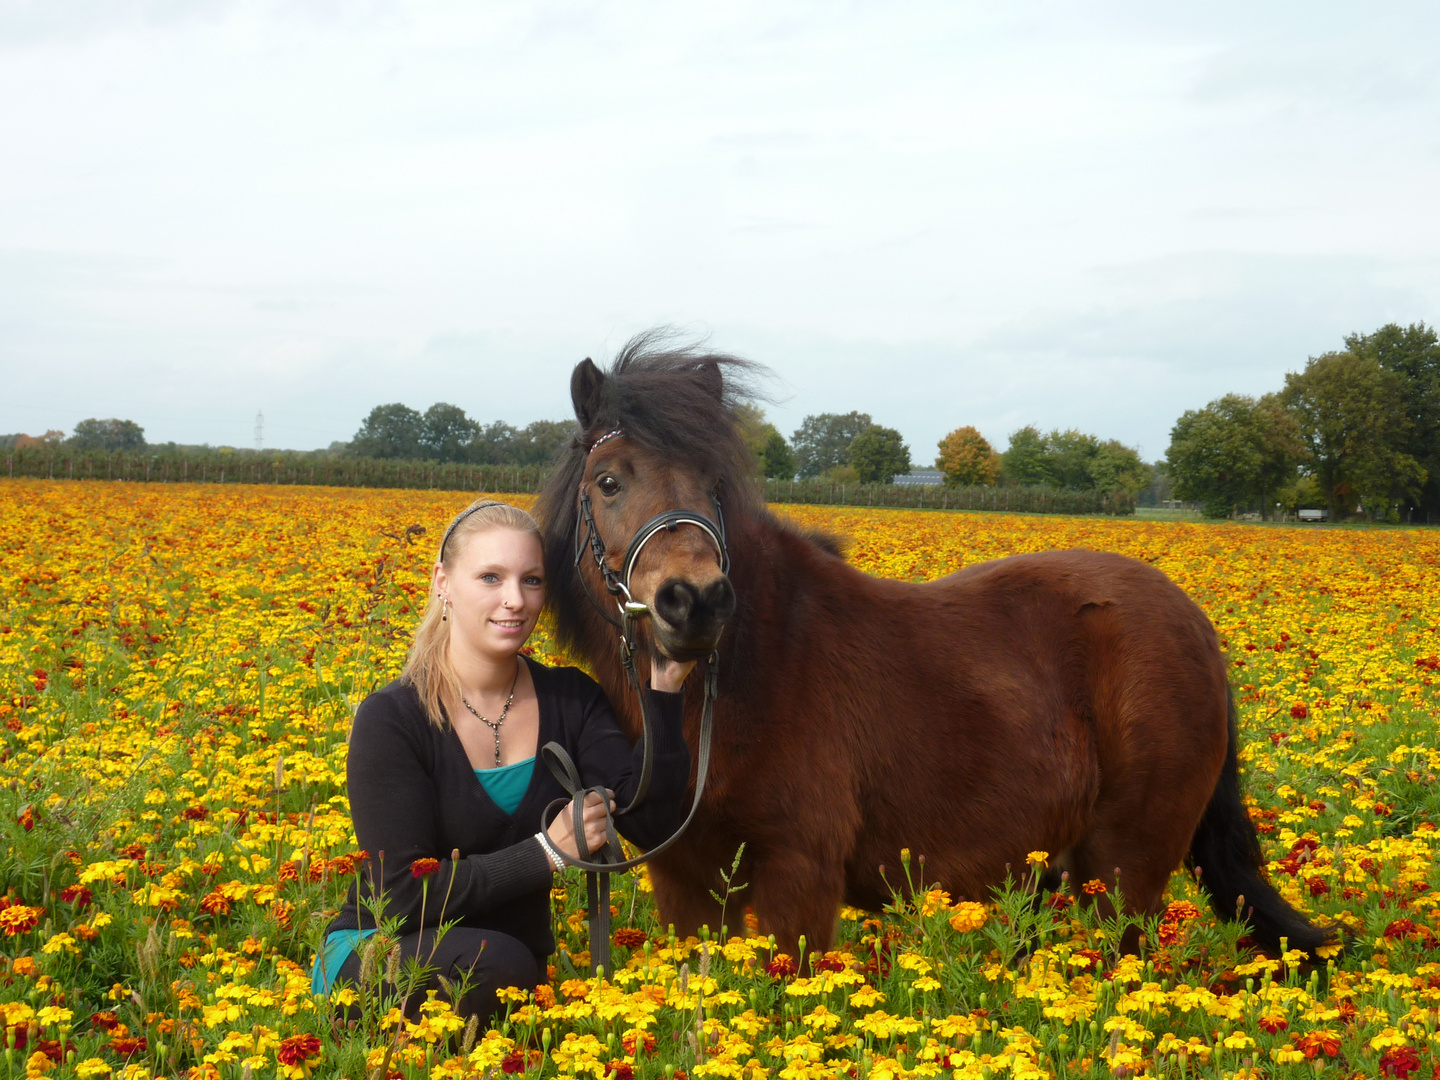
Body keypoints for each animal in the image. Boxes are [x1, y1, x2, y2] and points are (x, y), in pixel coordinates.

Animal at [535, 334, 1330, 961]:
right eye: (609, 481)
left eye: (713, 484)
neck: (730, 695)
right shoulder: (687, 885)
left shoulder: (800, 877)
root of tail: (1194, 625)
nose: (694, 601)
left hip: (1123, 873)